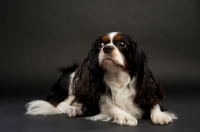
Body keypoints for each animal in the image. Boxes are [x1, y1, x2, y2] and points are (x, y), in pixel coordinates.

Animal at [25, 32, 177, 126]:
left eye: (122, 44)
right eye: (100, 45)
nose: (107, 48)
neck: (118, 78)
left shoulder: (146, 92)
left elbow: (154, 104)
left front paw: (160, 116)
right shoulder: (99, 101)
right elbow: (111, 106)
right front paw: (126, 116)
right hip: (74, 80)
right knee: (60, 103)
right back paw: (73, 109)